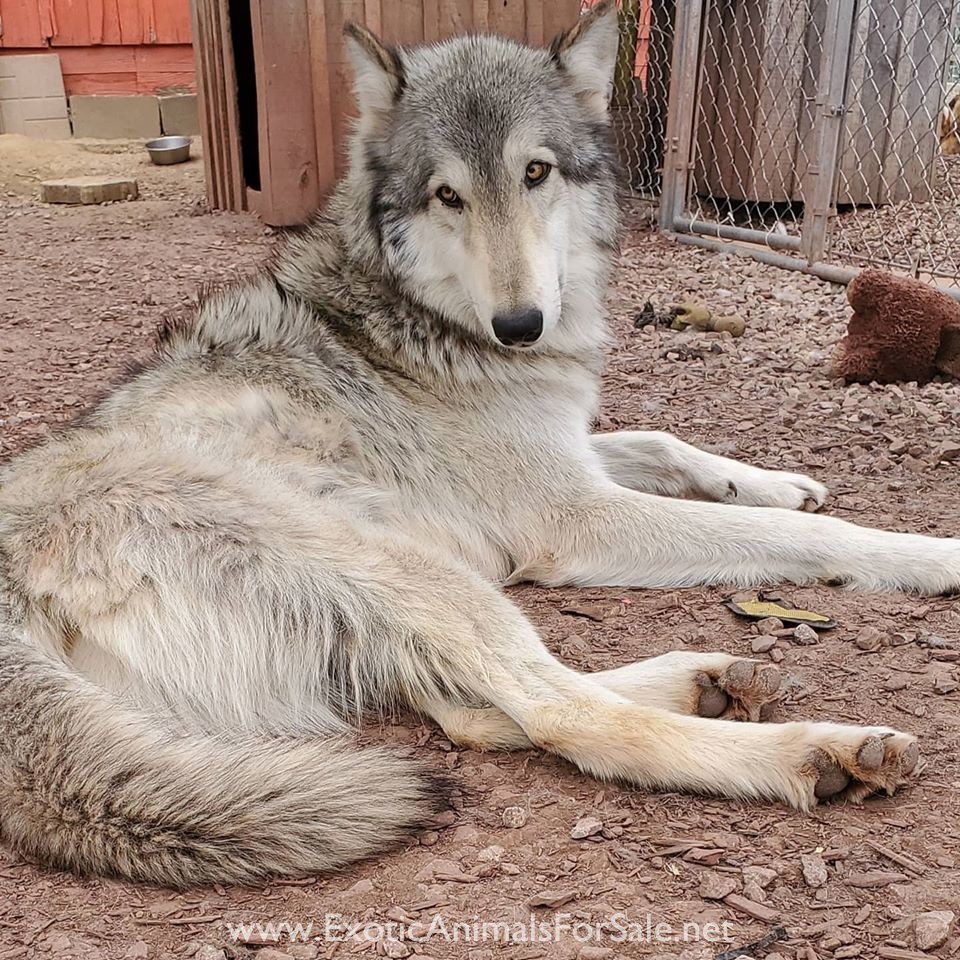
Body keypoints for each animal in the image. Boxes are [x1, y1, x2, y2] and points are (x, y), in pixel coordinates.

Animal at [0, 1, 955, 889]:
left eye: (535, 172)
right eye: (447, 195)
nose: (521, 325)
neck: (424, 319)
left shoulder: (573, 454)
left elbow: (668, 441)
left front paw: (778, 480)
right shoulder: (572, 517)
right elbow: (804, 538)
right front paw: (928, 553)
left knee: (477, 714)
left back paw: (710, 680)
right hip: (402, 565)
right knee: (559, 714)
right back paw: (810, 752)